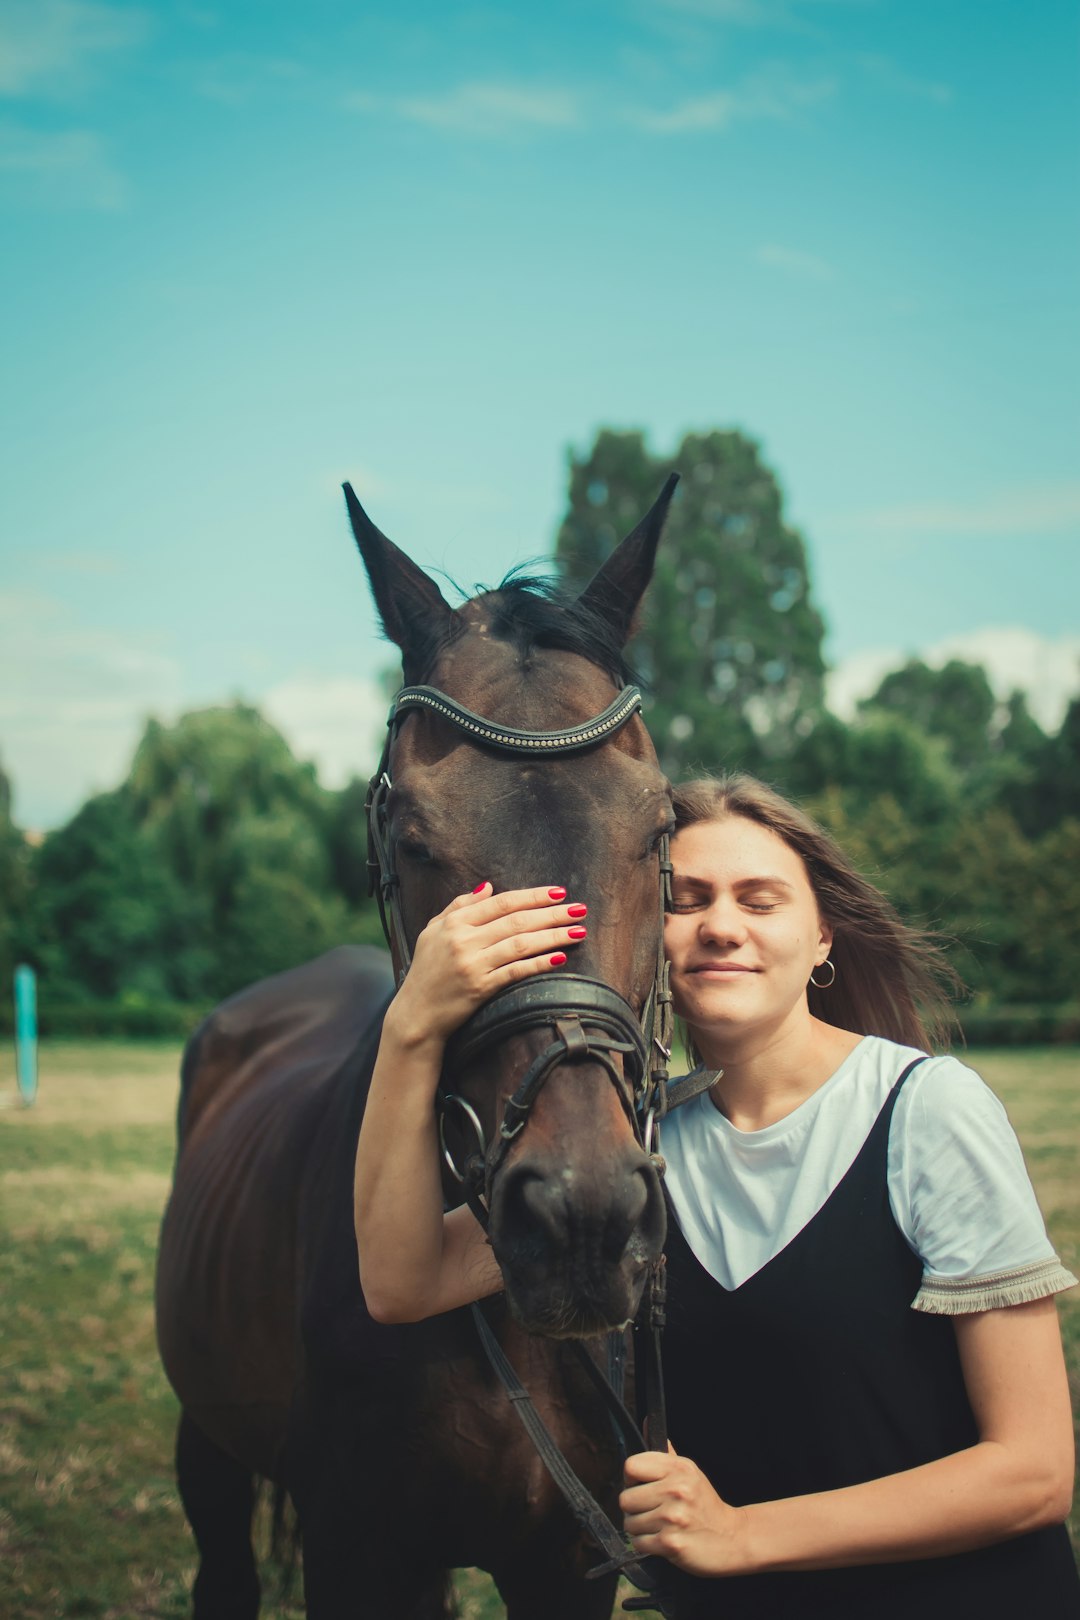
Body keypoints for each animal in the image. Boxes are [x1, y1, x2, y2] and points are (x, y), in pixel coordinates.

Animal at [153, 473, 676, 1613]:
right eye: (411, 837)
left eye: (658, 828)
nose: (581, 1215)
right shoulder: (360, 1551)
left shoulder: (568, 1569)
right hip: (207, 1443)